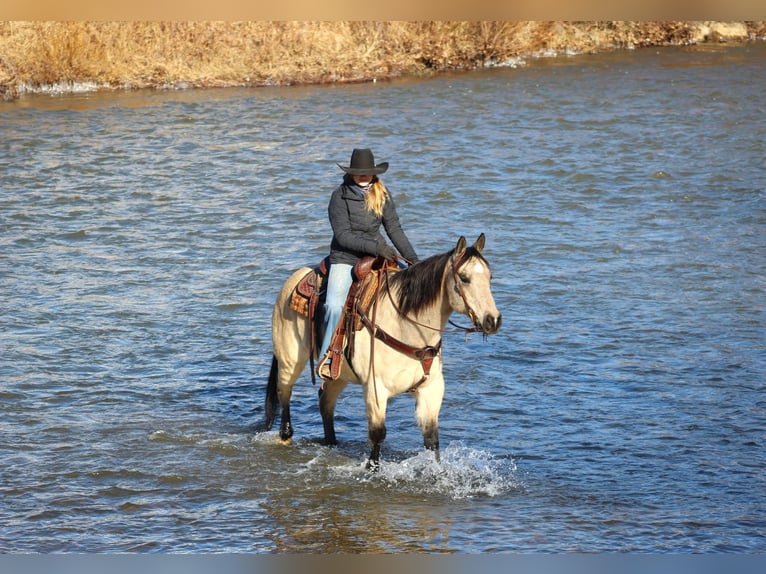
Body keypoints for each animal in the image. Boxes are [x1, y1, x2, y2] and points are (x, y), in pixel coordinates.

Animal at [264, 235, 504, 472]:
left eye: (490, 277)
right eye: (464, 278)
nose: (492, 320)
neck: (405, 326)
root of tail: (295, 278)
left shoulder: (431, 389)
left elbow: (431, 438)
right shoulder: (376, 388)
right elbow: (378, 434)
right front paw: (372, 469)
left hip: (338, 375)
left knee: (325, 402)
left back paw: (332, 443)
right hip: (290, 361)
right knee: (284, 392)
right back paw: (285, 435)